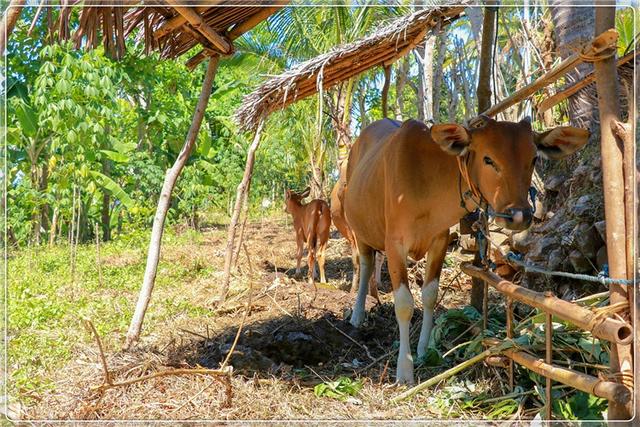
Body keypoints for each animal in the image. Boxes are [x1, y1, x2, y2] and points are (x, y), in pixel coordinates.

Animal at [342, 117, 588, 384]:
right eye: (488, 159)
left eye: (533, 159)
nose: (519, 215)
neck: (425, 180)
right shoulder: (395, 243)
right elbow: (404, 304)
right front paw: (404, 369)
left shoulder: (439, 240)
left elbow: (430, 294)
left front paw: (424, 349)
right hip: (359, 230)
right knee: (365, 264)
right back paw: (357, 314)